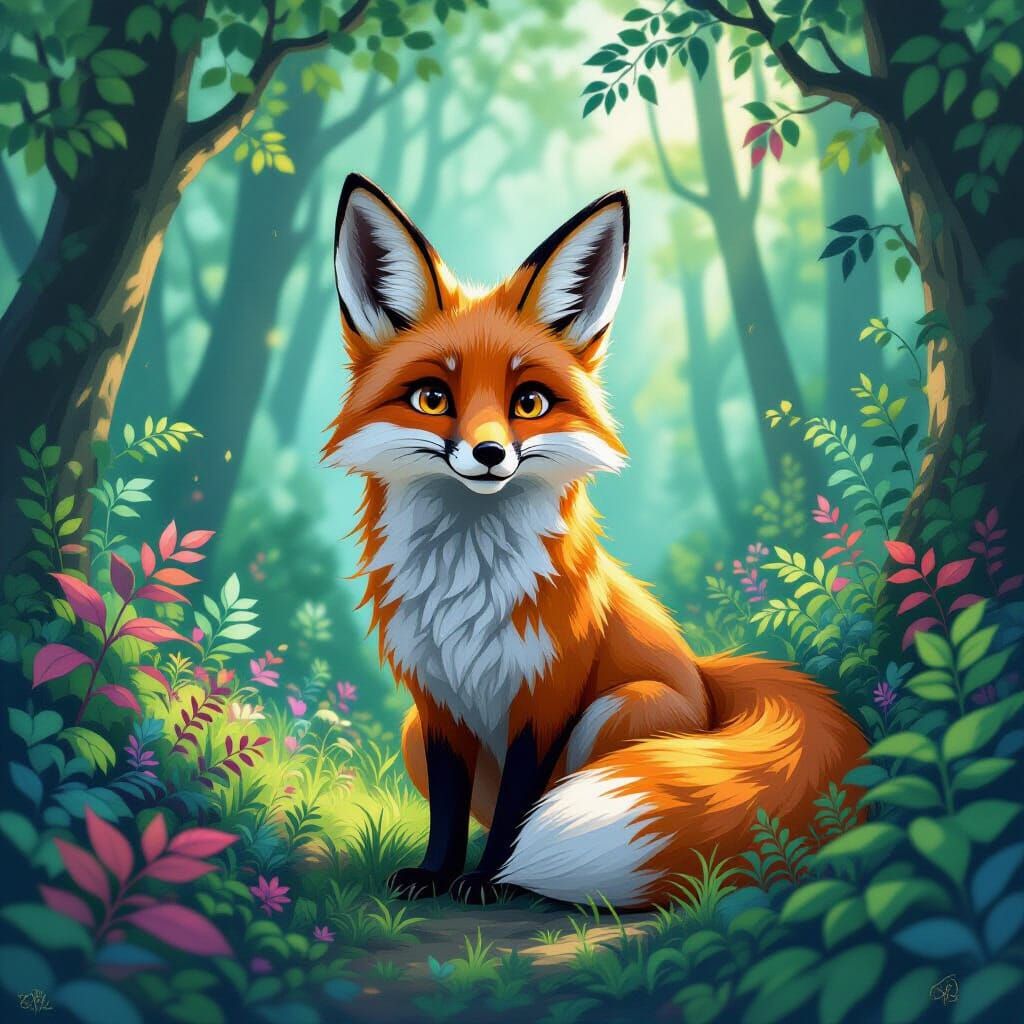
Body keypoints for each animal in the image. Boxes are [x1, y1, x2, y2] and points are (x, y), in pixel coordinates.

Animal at [323, 173, 867, 909]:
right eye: (432, 398)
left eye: (528, 403)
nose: (489, 455)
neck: (469, 583)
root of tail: (706, 674)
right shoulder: (434, 702)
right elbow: (449, 805)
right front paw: (436, 873)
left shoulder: (548, 695)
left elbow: (521, 806)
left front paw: (490, 880)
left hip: (617, 710)